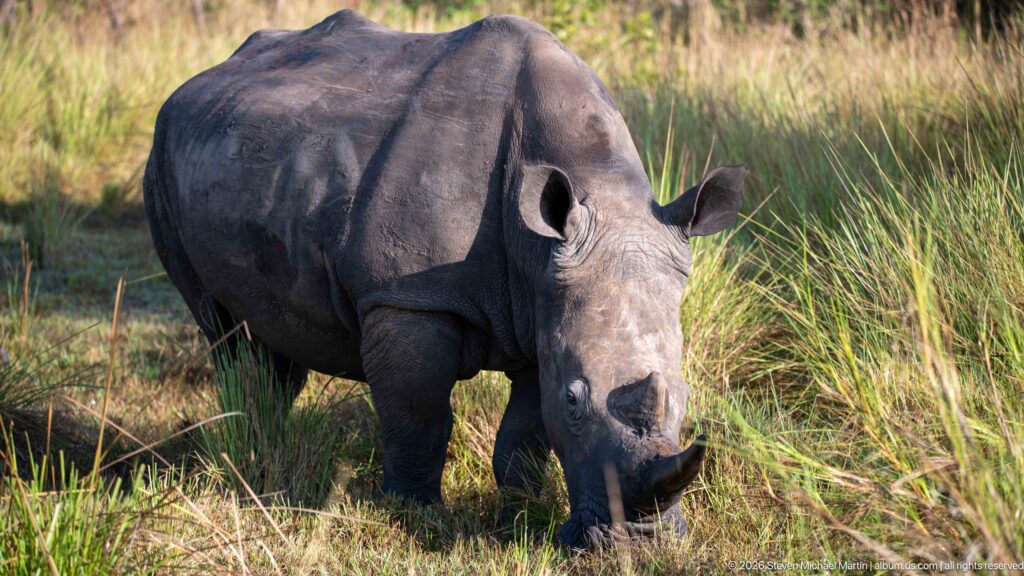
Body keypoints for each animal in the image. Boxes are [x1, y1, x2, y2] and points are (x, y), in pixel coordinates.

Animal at [144, 10, 745, 549]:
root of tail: (197, 80)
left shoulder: (543, 303)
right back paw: (249, 455)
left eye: (687, 396)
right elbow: (419, 415)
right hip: (160, 159)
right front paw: (413, 512)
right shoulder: (408, 297)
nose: (642, 544)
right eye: (576, 401)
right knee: (222, 332)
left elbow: (524, 433)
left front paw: (518, 512)